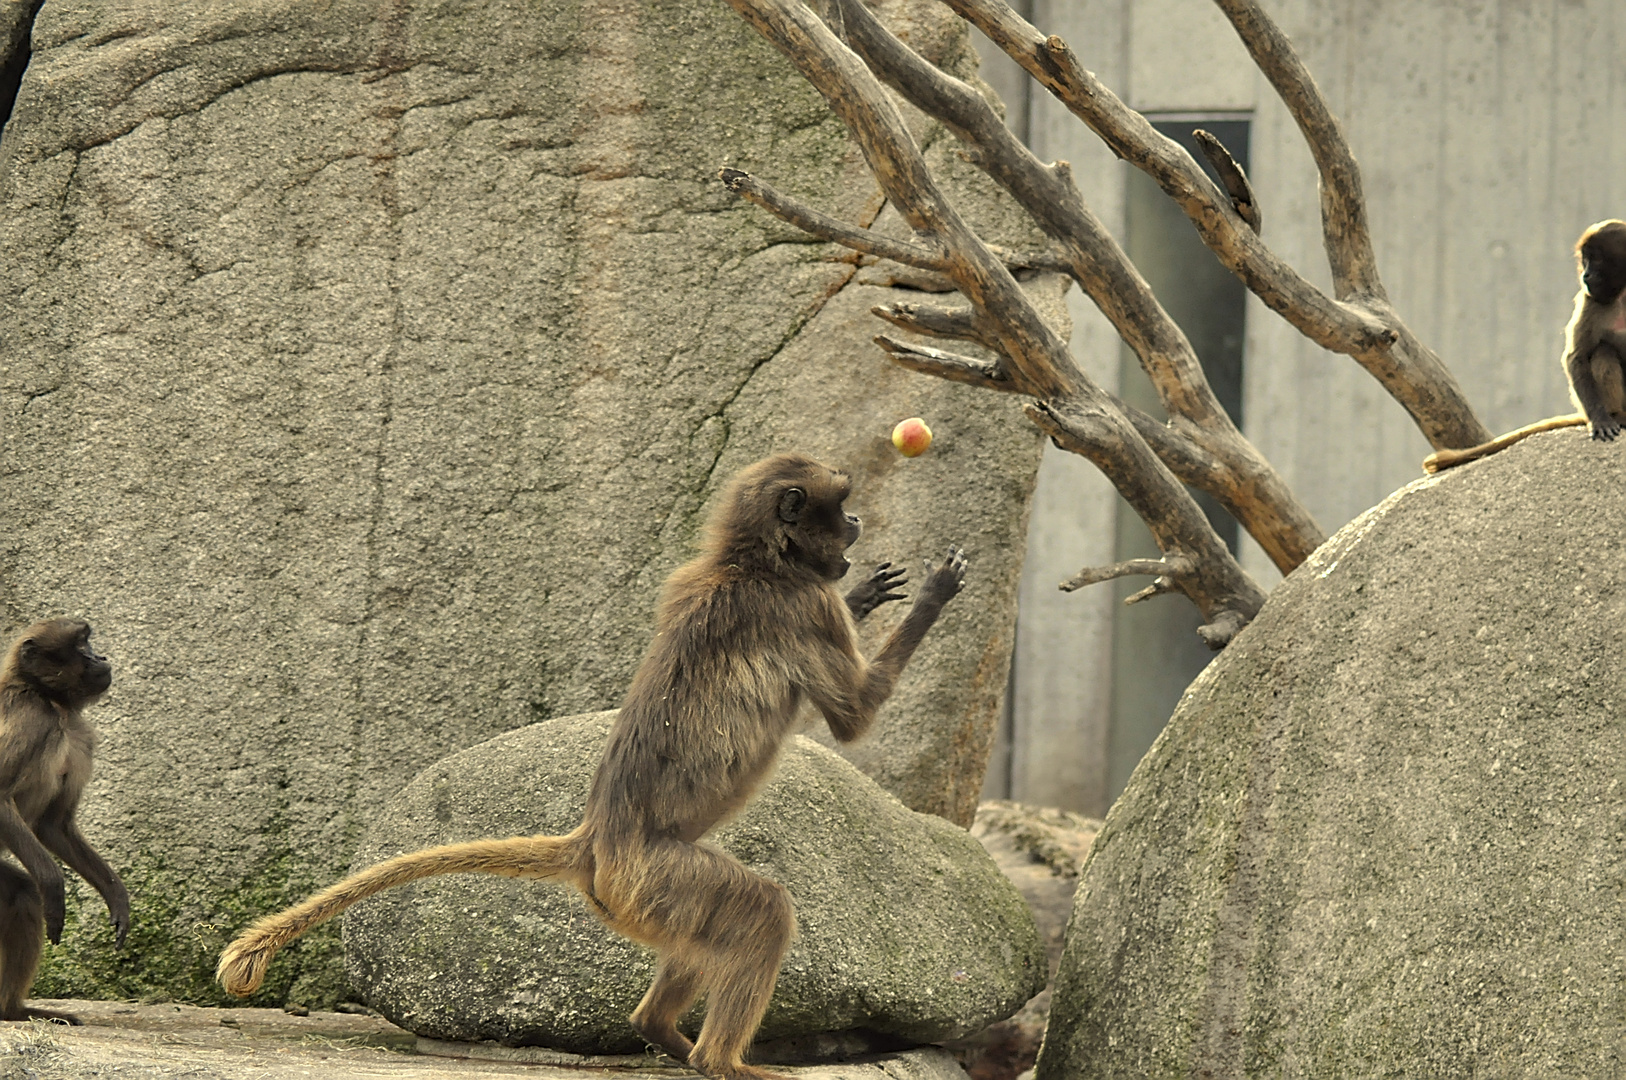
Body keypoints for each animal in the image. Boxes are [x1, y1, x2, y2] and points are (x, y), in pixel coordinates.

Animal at [0, 614, 131, 1021]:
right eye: (80, 645)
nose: (101, 656)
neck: (51, 702)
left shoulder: (78, 735)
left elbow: (54, 825)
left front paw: (116, 895)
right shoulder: (31, 721)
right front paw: (54, 884)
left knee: (22, 896)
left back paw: (12, 1010)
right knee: (30, 894)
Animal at [222, 452, 969, 1080]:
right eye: (838, 507)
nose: (858, 522)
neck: (748, 564)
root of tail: (597, 839)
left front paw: (869, 596)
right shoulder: (805, 607)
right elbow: (855, 717)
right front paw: (934, 593)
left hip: (647, 897)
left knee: (708, 939)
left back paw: (663, 1034)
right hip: (654, 878)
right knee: (762, 911)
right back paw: (722, 1063)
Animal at [1417, 219, 1626, 471]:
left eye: (1596, 260)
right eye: (1586, 260)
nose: (1586, 275)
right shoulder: (1590, 300)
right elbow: (1576, 357)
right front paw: (1600, 420)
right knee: (1604, 352)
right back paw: (1617, 416)